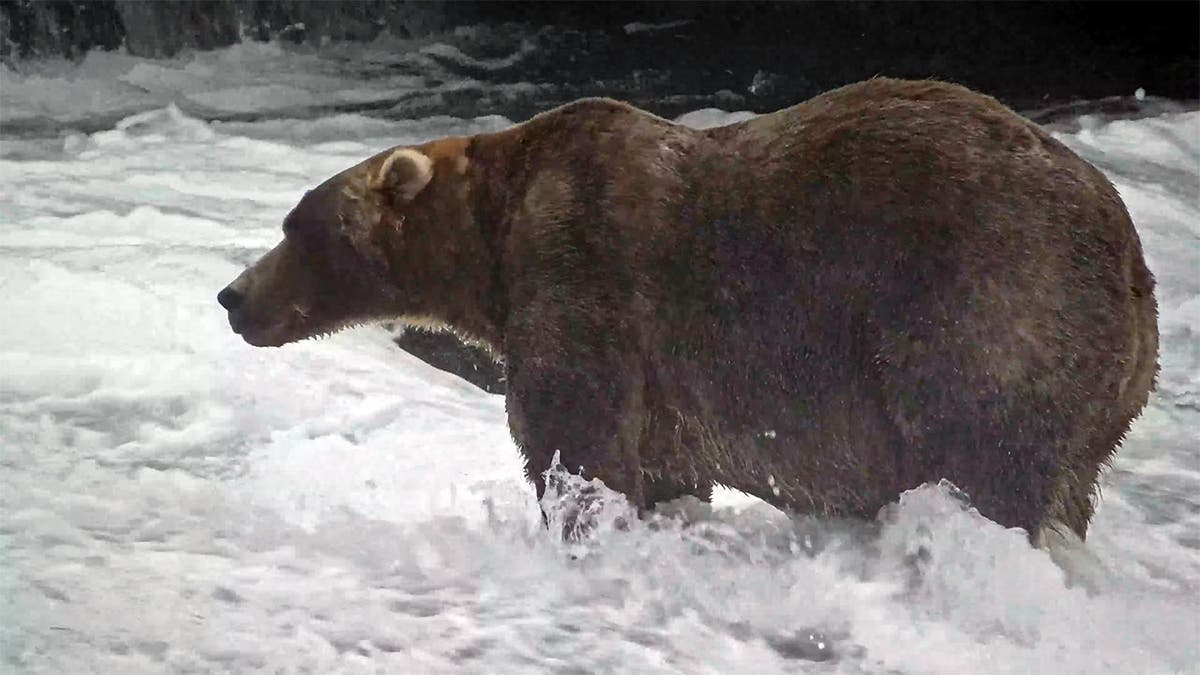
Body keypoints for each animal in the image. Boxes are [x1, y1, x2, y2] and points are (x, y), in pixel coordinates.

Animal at [217, 78, 1158, 540]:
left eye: (296, 226)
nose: (232, 296)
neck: (491, 241)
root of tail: (1132, 257)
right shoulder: (667, 384)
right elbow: (664, 464)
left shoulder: (584, 272)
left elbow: (574, 436)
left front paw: (578, 523)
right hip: (1103, 395)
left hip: (986, 304)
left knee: (982, 453)